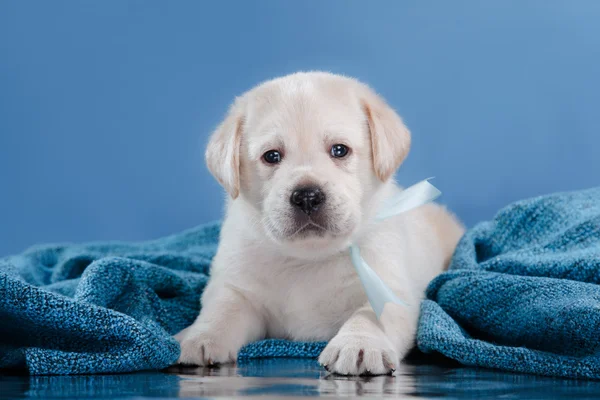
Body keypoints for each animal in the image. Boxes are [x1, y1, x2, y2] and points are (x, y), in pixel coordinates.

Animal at [175, 71, 464, 376]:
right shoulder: (237, 287)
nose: (307, 197)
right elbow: (223, 310)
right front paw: (201, 336)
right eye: (272, 156)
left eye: (339, 150)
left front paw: (360, 343)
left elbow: (369, 315)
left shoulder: (389, 288)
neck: (309, 259)